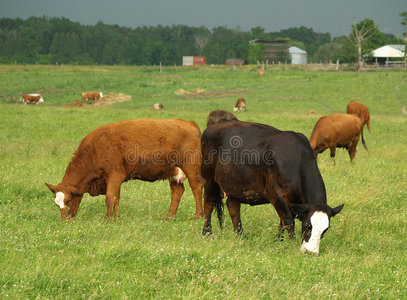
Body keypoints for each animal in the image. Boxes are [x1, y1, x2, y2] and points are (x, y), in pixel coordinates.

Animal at [45, 118, 204, 221]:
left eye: (69, 200)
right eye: (56, 204)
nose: (65, 220)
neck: (95, 150)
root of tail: (189, 124)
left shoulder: (115, 176)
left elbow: (110, 198)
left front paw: (107, 219)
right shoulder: (115, 179)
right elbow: (116, 198)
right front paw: (116, 217)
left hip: (191, 167)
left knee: (196, 187)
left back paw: (198, 215)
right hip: (173, 171)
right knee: (177, 192)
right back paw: (169, 217)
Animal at [201, 120, 344, 254]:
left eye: (325, 230)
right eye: (308, 225)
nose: (311, 252)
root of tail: (212, 127)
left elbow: (283, 220)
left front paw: (278, 239)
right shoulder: (276, 194)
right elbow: (288, 219)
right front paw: (291, 242)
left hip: (235, 184)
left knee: (233, 207)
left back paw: (240, 235)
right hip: (209, 178)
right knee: (208, 203)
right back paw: (207, 232)